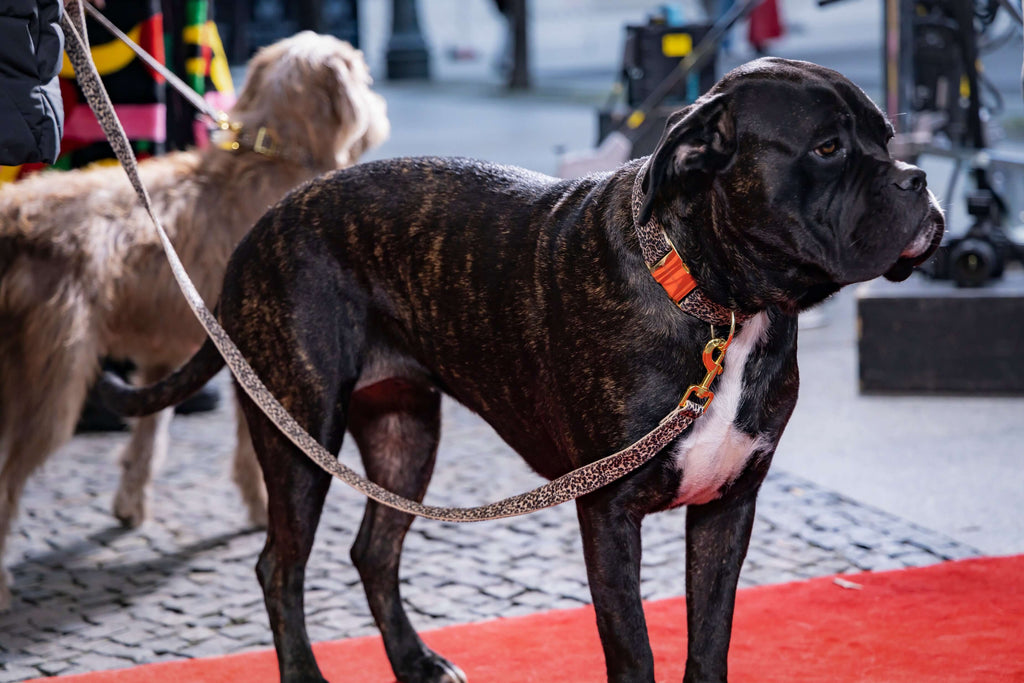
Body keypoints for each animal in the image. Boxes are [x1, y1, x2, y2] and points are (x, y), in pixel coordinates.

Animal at [0, 31, 389, 610]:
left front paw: (130, 506)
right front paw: (261, 511)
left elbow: (148, 438)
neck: (268, 159)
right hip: (52, 385)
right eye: (362, 76)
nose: (381, 107)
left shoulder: (165, 358)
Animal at [101, 58, 942, 683]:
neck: (722, 302)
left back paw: (416, 661)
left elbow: (709, 642)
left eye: (888, 136)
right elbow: (634, 651)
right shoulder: (610, 514)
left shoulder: (728, 504)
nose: (918, 178)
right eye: (827, 148)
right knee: (280, 564)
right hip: (301, 433)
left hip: (404, 430)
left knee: (374, 549)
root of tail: (260, 229)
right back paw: (309, 672)